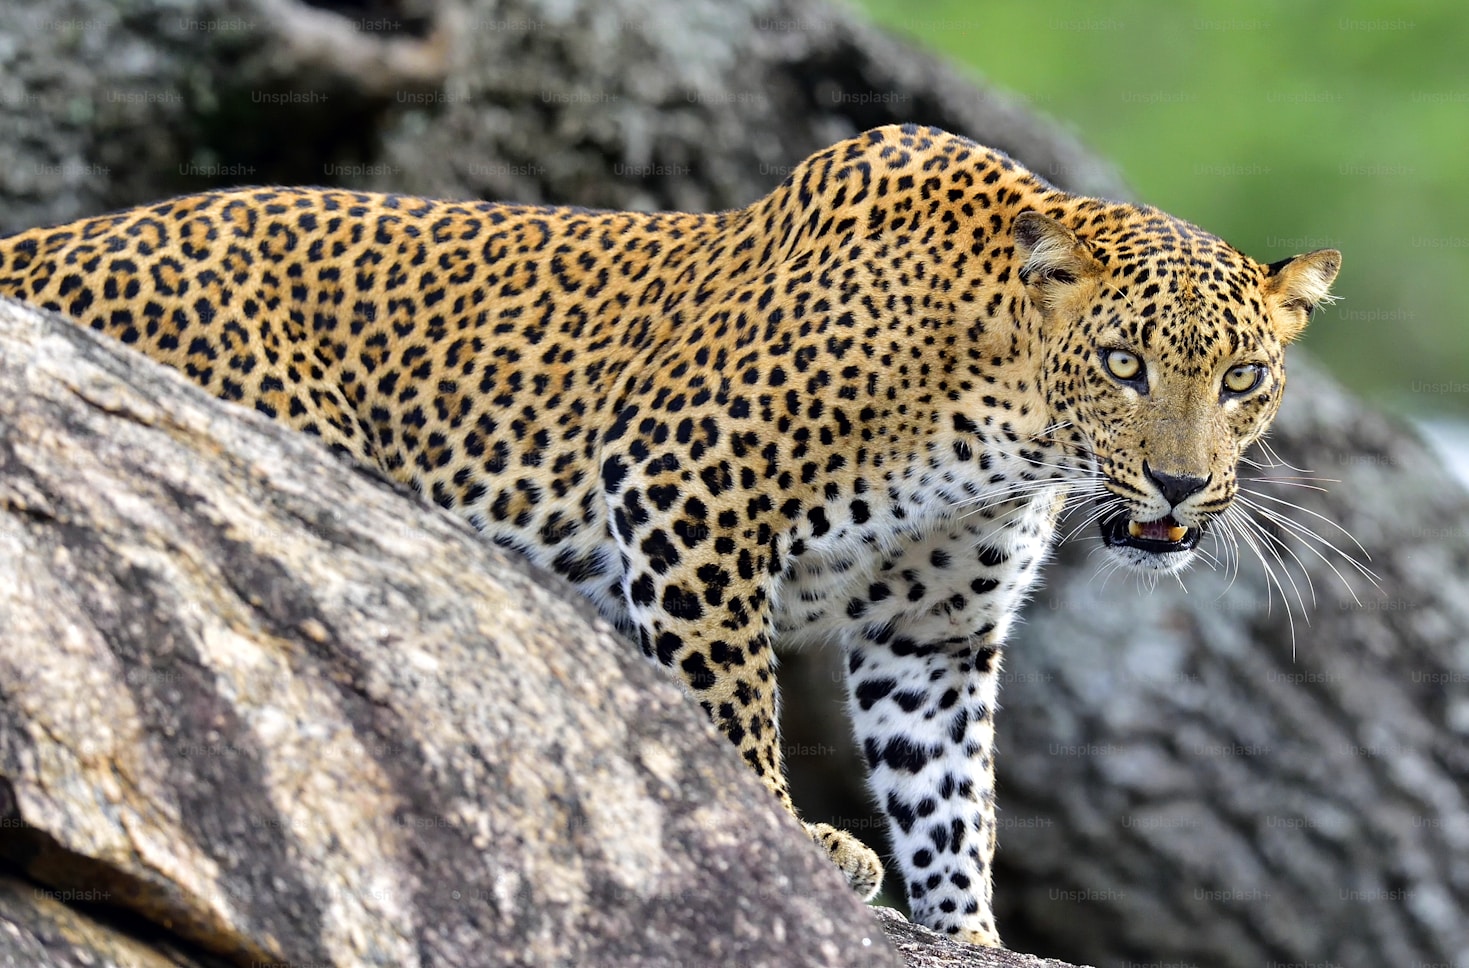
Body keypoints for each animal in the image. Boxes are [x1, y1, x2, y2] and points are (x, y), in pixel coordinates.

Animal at [0, 123, 1339, 946]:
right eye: (1122, 364)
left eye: (1243, 378)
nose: (1178, 484)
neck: (1003, 422)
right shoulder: (688, 494)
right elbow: (729, 707)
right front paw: (795, 843)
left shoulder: (933, 631)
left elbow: (950, 792)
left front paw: (965, 930)